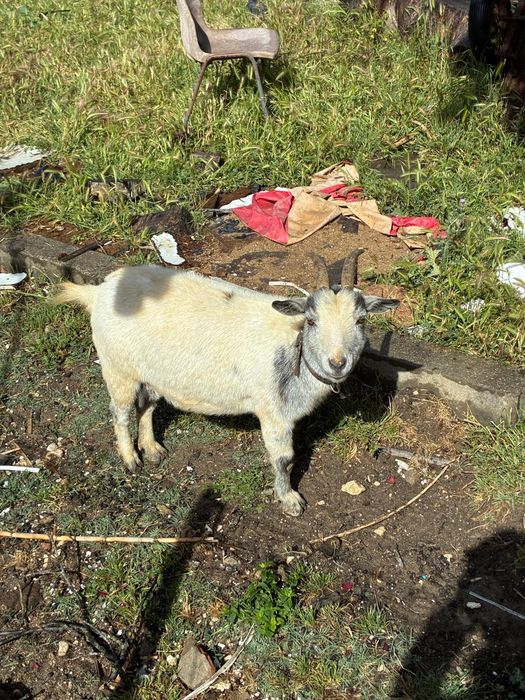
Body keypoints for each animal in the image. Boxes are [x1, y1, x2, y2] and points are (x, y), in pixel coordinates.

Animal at [54, 251, 399, 516]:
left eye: (361, 320)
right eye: (312, 321)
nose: (338, 363)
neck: (294, 345)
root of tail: (99, 291)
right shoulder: (273, 412)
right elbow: (284, 459)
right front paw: (289, 500)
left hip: (152, 372)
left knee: (147, 406)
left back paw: (152, 449)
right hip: (117, 366)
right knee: (120, 412)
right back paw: (130, 459)